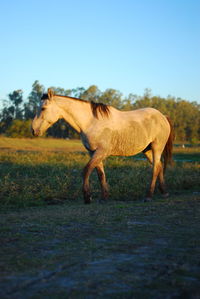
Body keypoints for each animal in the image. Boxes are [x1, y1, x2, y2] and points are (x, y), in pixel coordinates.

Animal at [31, 88, 173, 204]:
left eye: (43, 108)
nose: (33, 130)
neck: (91, 122)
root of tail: (163, 116)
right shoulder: (93, 152)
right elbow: (100, 174)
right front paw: (104, 197)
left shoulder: (101, 151)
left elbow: (86, 170)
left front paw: (87, 197)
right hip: (147, 150)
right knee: (159, 166)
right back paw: (164, 192)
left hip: (156, 148)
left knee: (155, 168)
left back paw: (148, 196)